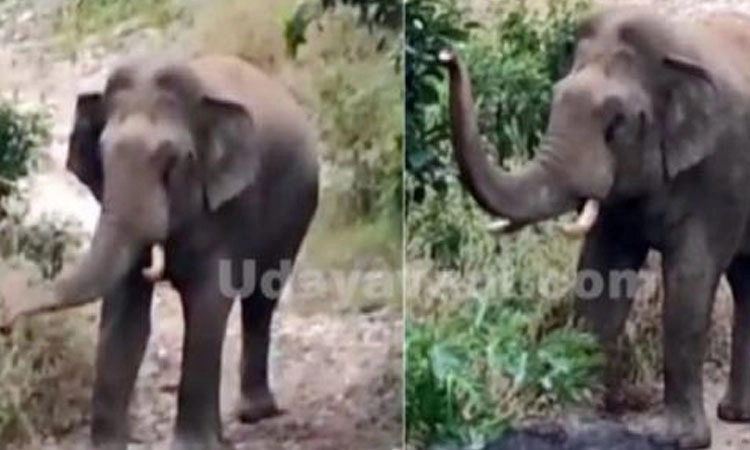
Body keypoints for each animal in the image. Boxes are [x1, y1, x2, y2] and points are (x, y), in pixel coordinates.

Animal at [0, 54, 319, 449]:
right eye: (102, 155)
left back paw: (254, 413)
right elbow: (124, 313)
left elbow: (207, 305)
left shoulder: (233, 205)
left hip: (297, 211)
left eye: (172, 161)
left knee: (261, 299)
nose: (5, 319)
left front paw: (192, 446)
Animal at [440, 6, 750, 449]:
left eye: (616, 123)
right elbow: (599, 271)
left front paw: (677, 438)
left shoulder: (722, 169)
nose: (446, 55)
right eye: (555, 97)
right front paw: (577, 420)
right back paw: (736, 414)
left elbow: (689, 278)